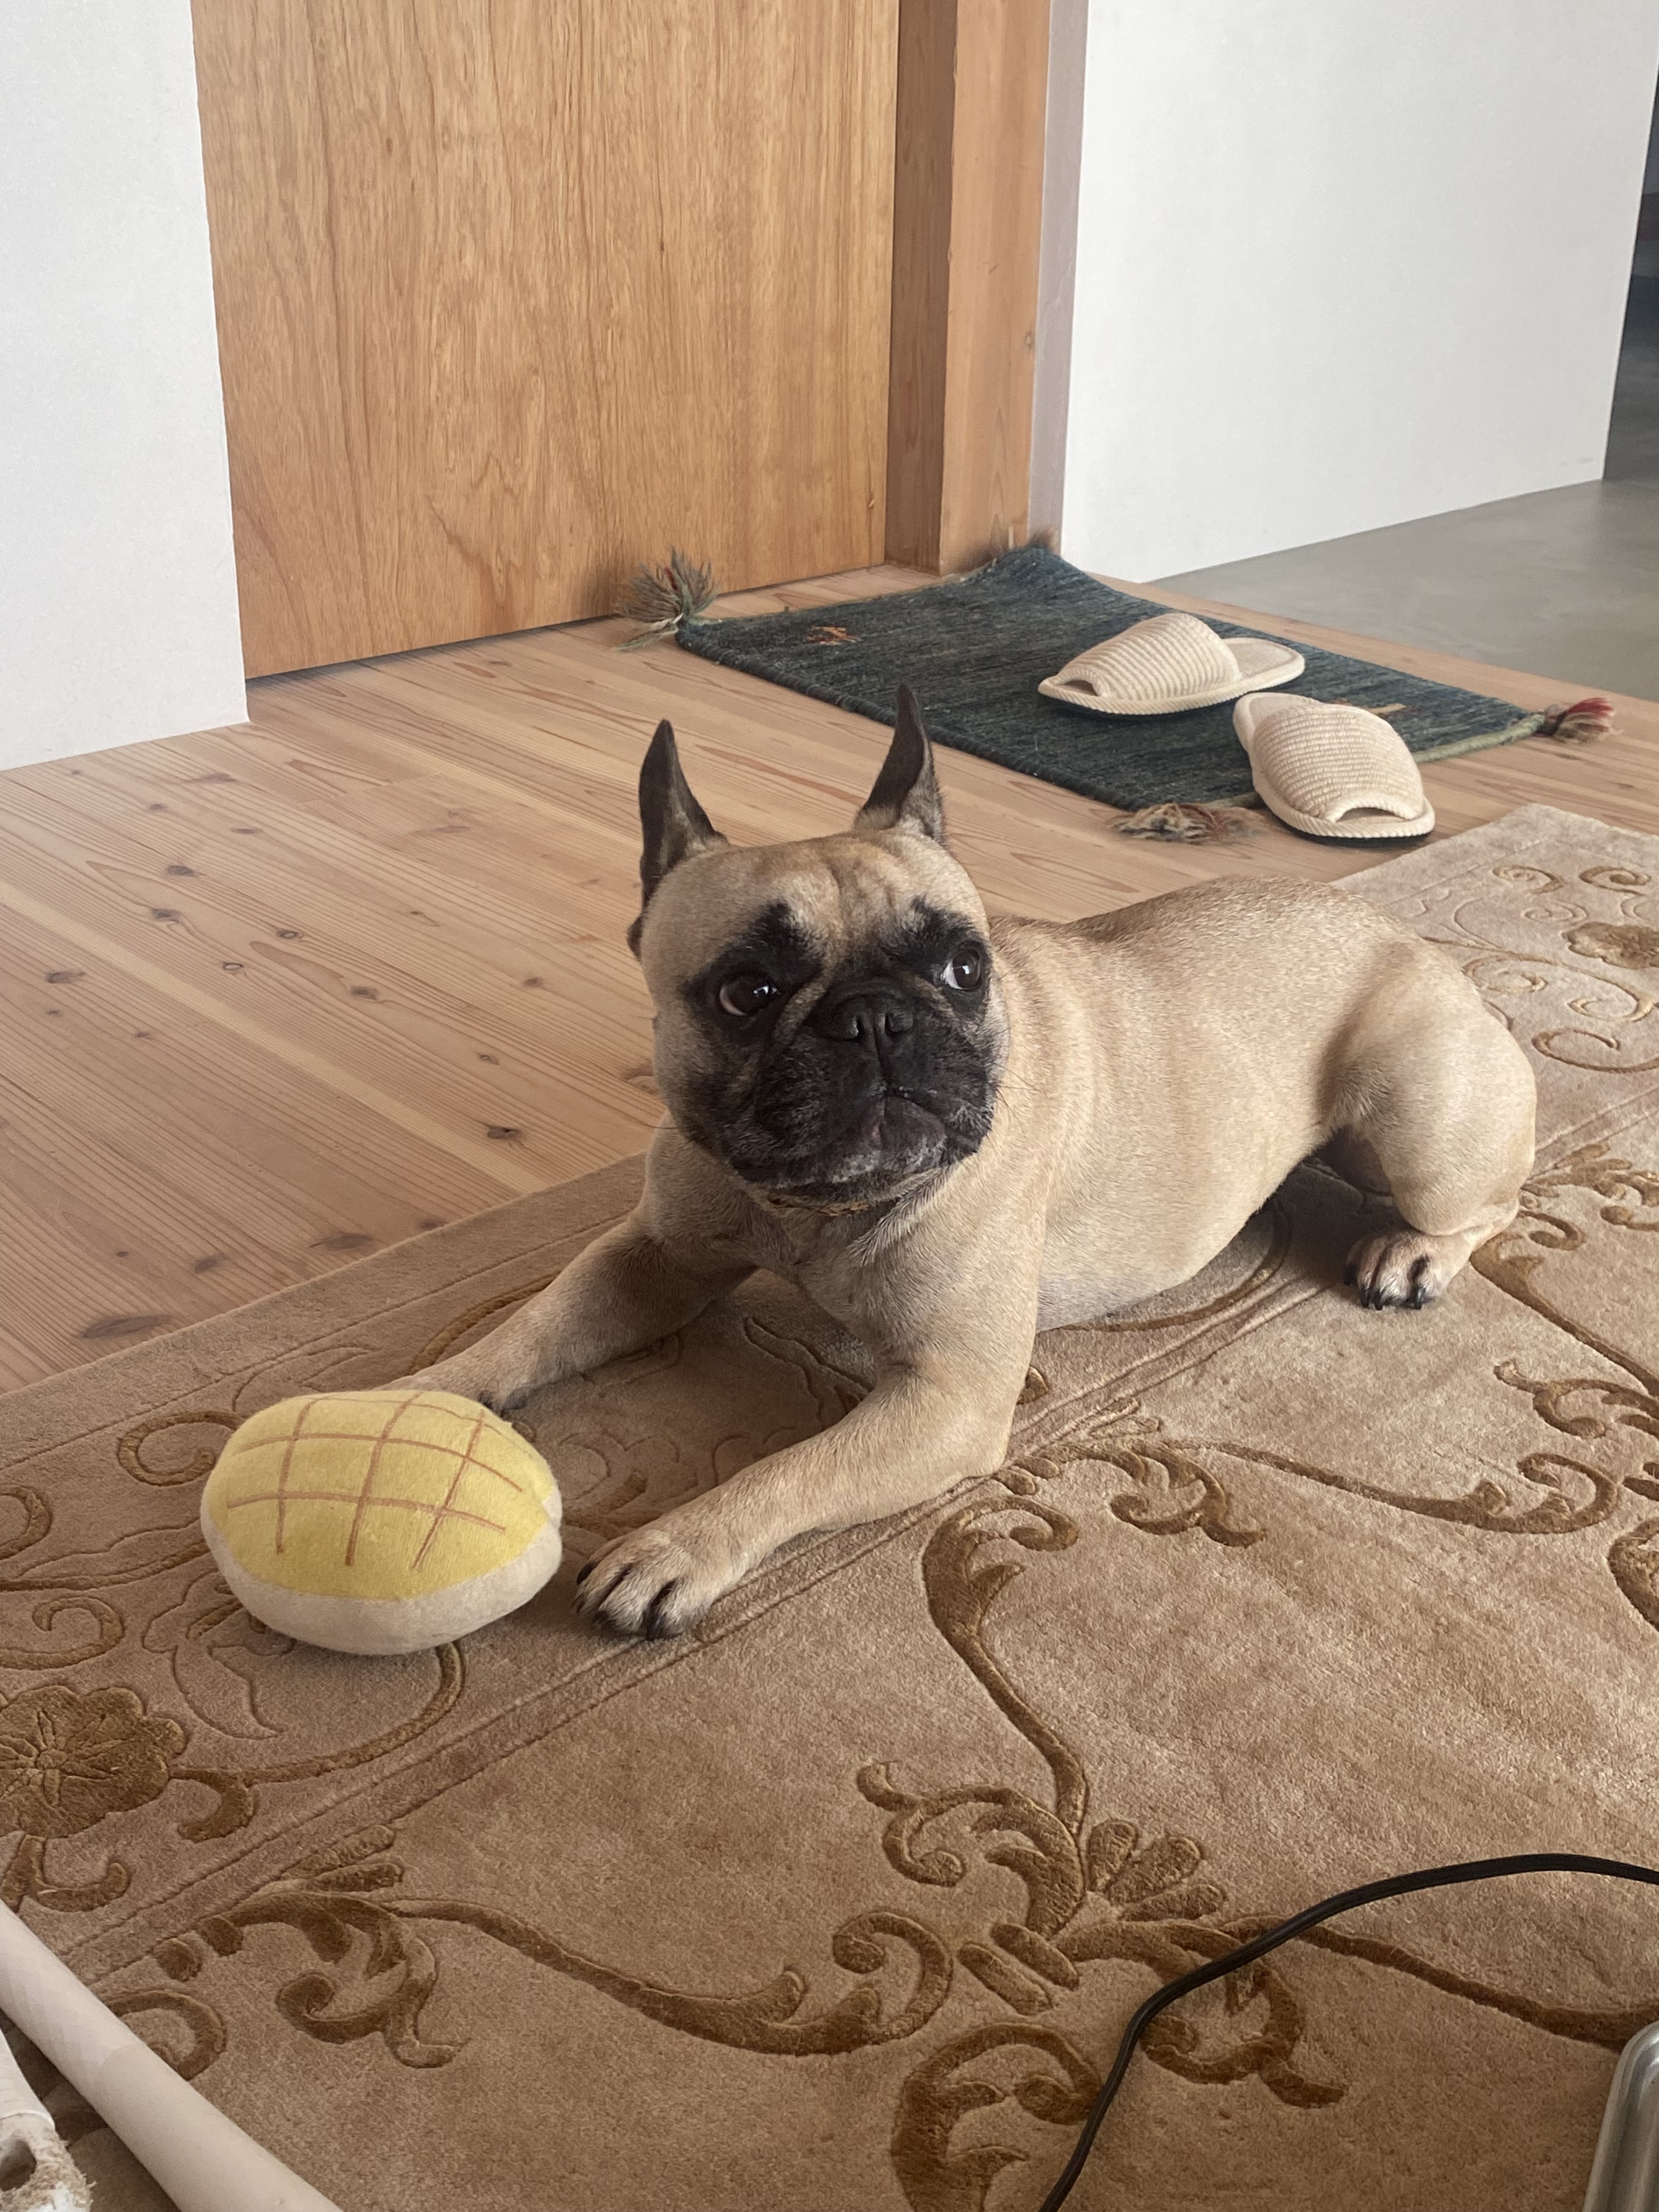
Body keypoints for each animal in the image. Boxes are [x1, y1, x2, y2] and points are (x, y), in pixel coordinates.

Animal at [408, 689, 1537, 1638]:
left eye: (962, 967)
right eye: (745, 993)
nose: (875, 1019)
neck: (810, 1210)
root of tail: (1423, 949)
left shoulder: (947, 1398)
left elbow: (793, 1466)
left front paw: (678, 1543)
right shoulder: (653, 1259)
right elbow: (533, 1327)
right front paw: (433, 1389)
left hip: (1411, 1124)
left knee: (1492, 1204)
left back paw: (1410, 1255)